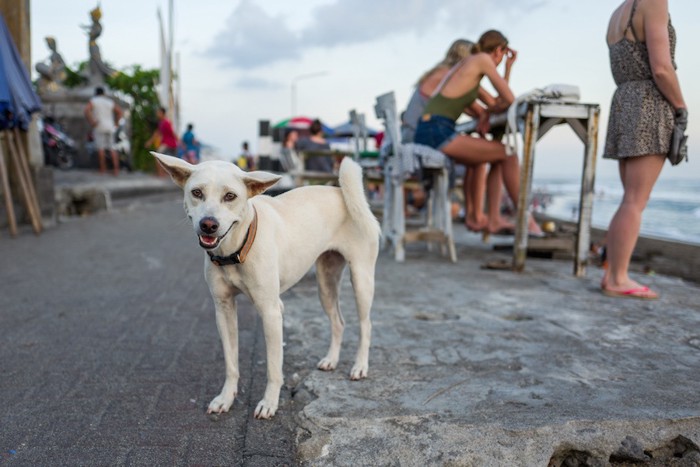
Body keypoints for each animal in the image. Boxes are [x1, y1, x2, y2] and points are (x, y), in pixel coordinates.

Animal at [154, 154, 380, 420]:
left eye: (230, 196)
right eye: (197, 192)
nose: (208, 224)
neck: (236, 250)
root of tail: (341, 192)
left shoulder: (271, 311)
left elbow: (274, 367)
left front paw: (269, 403)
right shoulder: (223, 309)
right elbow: (231, 363)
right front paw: (226, 398)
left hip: (361, 280)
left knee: (366, 324)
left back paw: (360, 366)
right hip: (325, 283)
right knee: (338, 322)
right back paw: (331, 360)